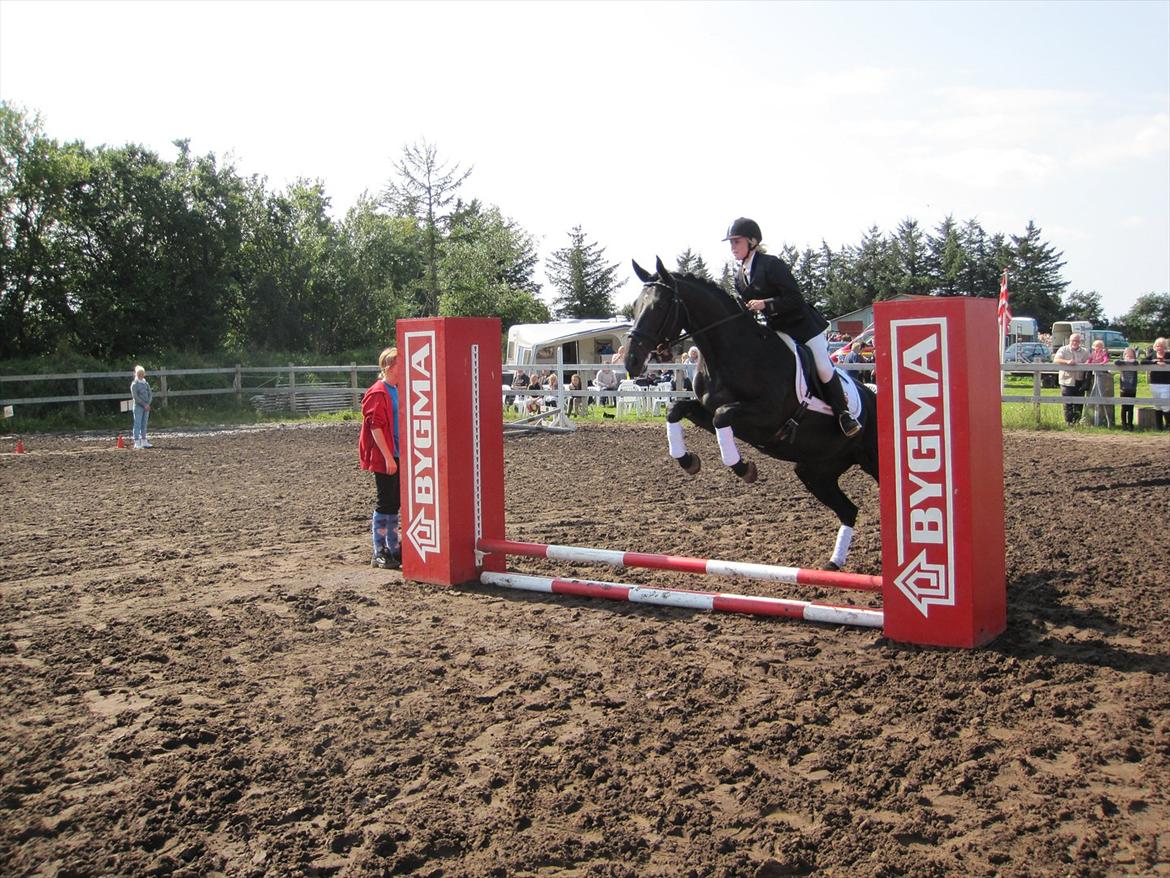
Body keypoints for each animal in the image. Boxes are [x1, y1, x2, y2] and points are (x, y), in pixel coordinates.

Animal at [622, 256, 879, 571]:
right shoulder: (710, 411)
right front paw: (688, 461)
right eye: (635, 306)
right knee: (848, 511)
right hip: (816, 471)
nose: (631, 361)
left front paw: (744, 469)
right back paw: (833, 564)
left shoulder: (767, 417)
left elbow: (722, 416)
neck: (729, 351)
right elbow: (676, 409)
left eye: (658, 307)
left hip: (870, 460)